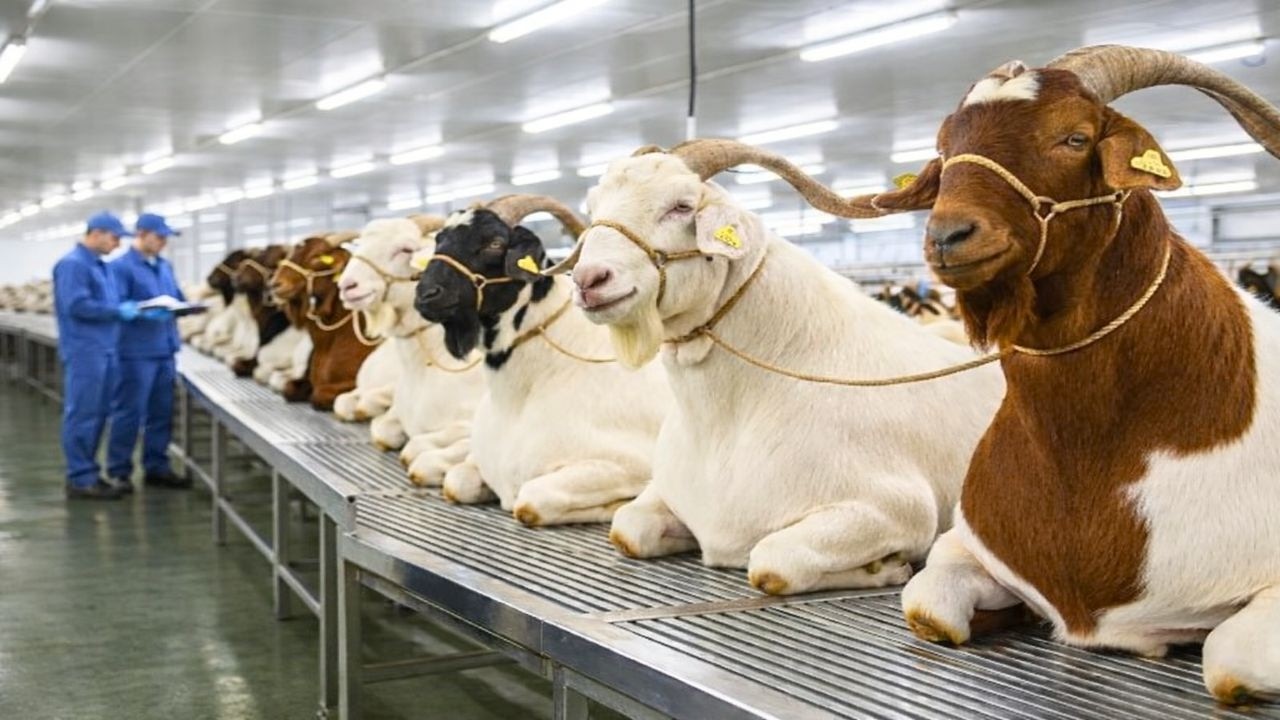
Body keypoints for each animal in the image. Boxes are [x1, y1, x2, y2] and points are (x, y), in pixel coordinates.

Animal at [414, 195, 669, 525]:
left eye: (495, 242)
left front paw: (620, 504)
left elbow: (529, 502)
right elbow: (456, 482)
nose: (426, 295)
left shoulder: (627, 464)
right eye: (439, 239)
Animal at [875, 46, 1280, 705]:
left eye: (1075, 137)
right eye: (943, 146)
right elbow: (926, 604)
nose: (947, 236)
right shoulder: (970, 544)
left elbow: (1229, 660)